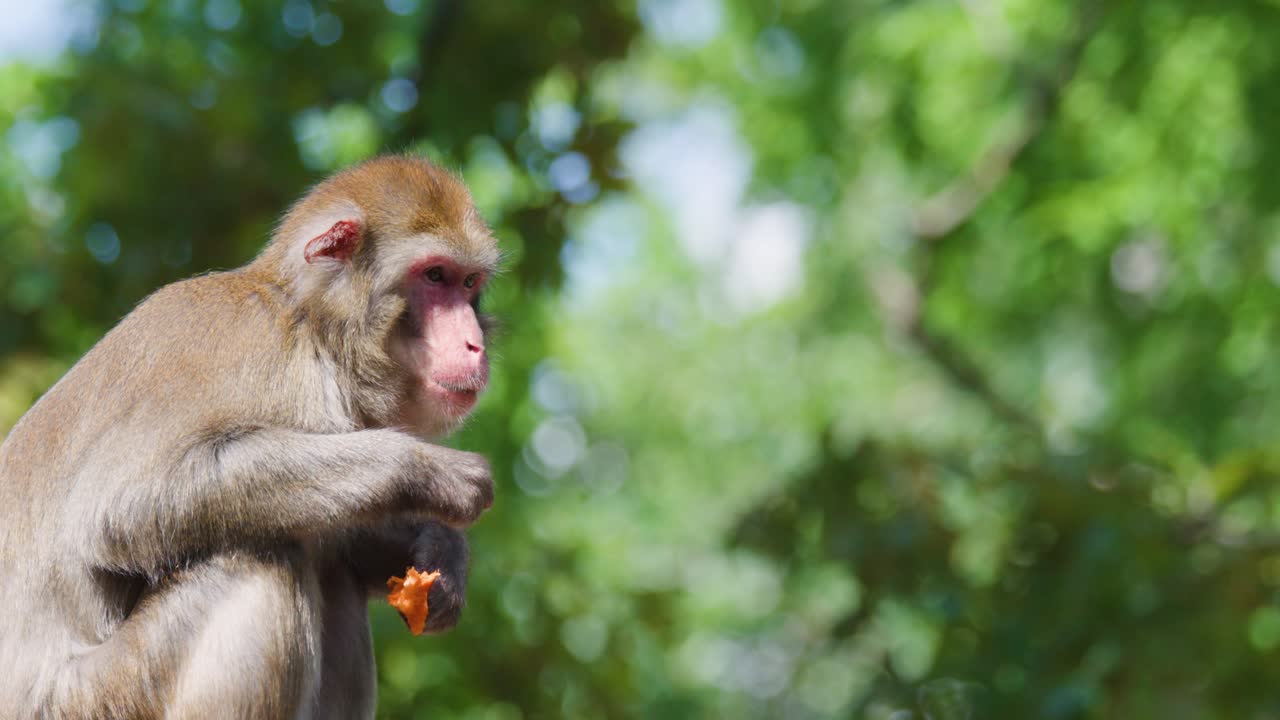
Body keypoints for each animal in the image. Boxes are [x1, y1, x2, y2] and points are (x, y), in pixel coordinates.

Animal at [0, 155, 500, 719]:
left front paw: (442, 550)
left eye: (468, 283)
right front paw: (426, 469)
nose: (474, 344)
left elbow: (345, 539)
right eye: (435, 276)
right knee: (261, 559)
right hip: (103, 696)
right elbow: (118, 508)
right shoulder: (253, 349)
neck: (313, 331)